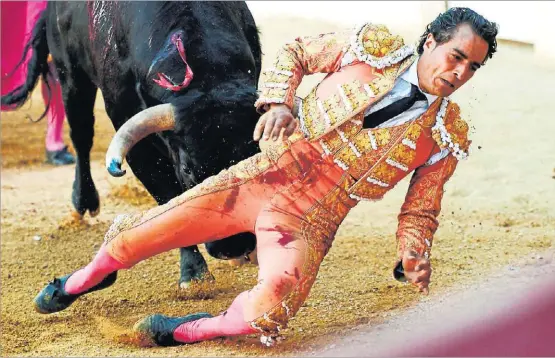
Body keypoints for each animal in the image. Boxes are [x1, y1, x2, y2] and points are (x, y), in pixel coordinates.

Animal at [1, 1, 262, 286]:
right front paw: (194, 273)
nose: (233, 247)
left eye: (253, 154)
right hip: (70, 73)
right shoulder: (138, 146)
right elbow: (168, 197)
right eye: (187, 170)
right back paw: (83, 201)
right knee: (81, 135)